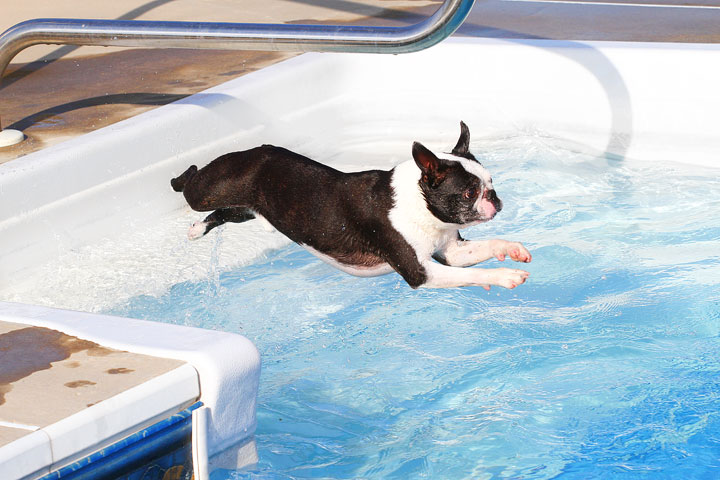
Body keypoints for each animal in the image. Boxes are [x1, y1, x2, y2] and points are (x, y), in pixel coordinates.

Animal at [172, 123, 532, 288]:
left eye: (490, 182)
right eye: (470, 192)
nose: (494, 198)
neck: (417, 202)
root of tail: (255, 151)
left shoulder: (451, 251)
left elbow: (486, 246)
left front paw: (512, 248)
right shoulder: (421, 273)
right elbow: (469, 274)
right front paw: (505, 276)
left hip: (249, 206)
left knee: (224, 213)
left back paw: (197, 230)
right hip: (211, 188)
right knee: (190, 185)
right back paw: (181, 179)